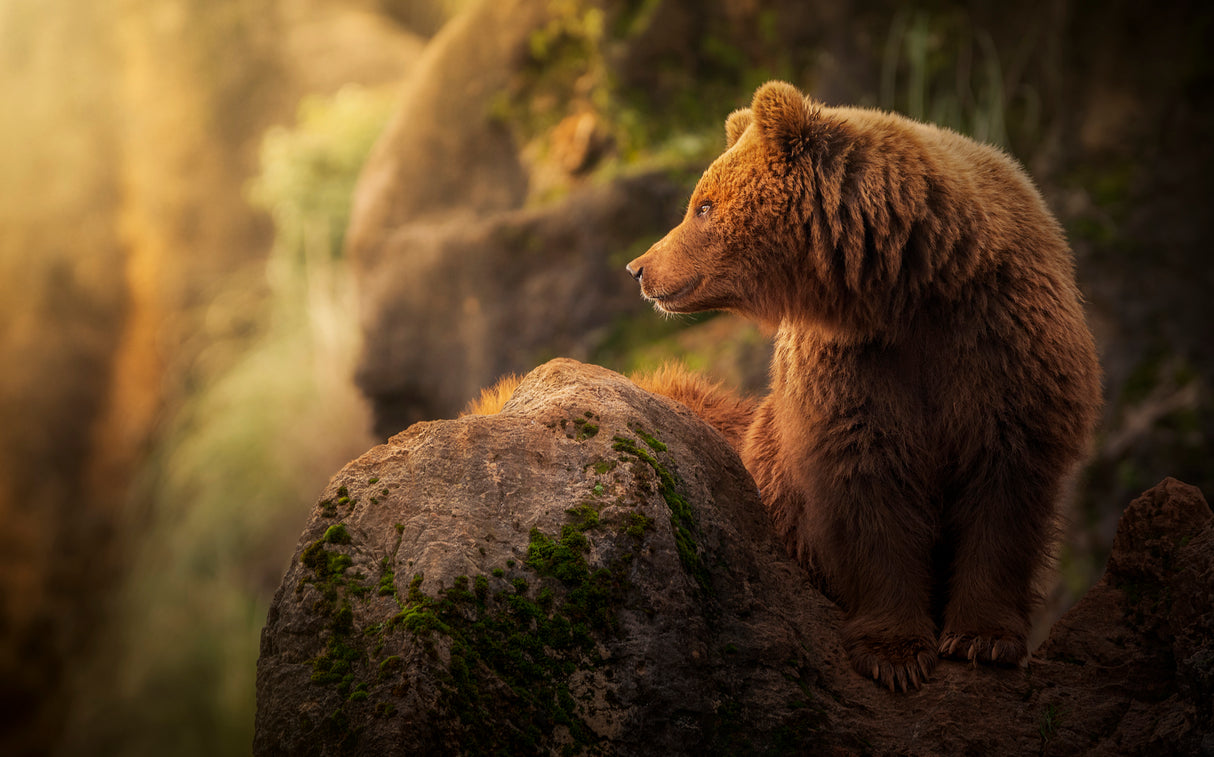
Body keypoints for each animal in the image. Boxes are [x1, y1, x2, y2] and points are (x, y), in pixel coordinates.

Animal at [626, 81, 1102, 693]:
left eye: (703, 206)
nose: (640, 268)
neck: (913, 284)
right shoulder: (854, 368)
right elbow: (868, 484)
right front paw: (894, 653)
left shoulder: (1003, 341)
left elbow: (1005, 487)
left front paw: (982, 639)